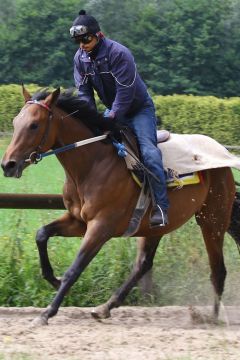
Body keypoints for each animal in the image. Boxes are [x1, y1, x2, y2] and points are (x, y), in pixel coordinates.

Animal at [0, 86, 238, 326]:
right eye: (15, 122)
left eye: (34, 125)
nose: (8, 164)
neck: (93, 164)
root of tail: (224, 157)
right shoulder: (78, 221)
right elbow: (41, 234)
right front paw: (52, 278)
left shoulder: (100, 227)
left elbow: (74, 269)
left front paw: (47, 312)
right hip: (156, 227)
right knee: (143, 264)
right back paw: (105, 307)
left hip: (212, 220)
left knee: (218, 270)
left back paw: (212, 317)